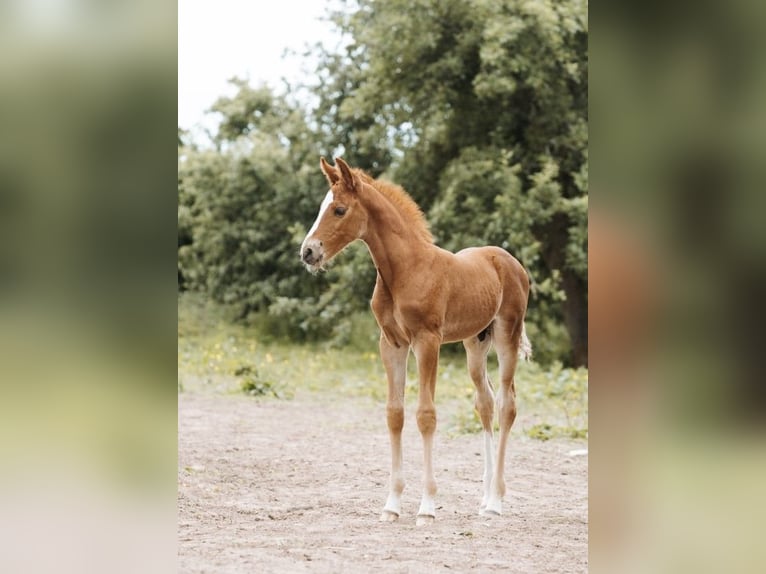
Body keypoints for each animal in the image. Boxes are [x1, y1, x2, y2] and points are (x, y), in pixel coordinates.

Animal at [302, 158, 536, 528]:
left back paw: (496, 502)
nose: (308, 252)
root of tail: (511, 262)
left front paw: (426, 507)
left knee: (506, 404)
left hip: (506, 335)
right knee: (484, 403)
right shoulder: (391, 344)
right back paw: (484, 498)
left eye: (339, 209)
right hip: (475, 343)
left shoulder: (428, 341)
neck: (405, 270)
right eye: (321, 208)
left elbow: (426, 415)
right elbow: (394, 414)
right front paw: (392, 505)